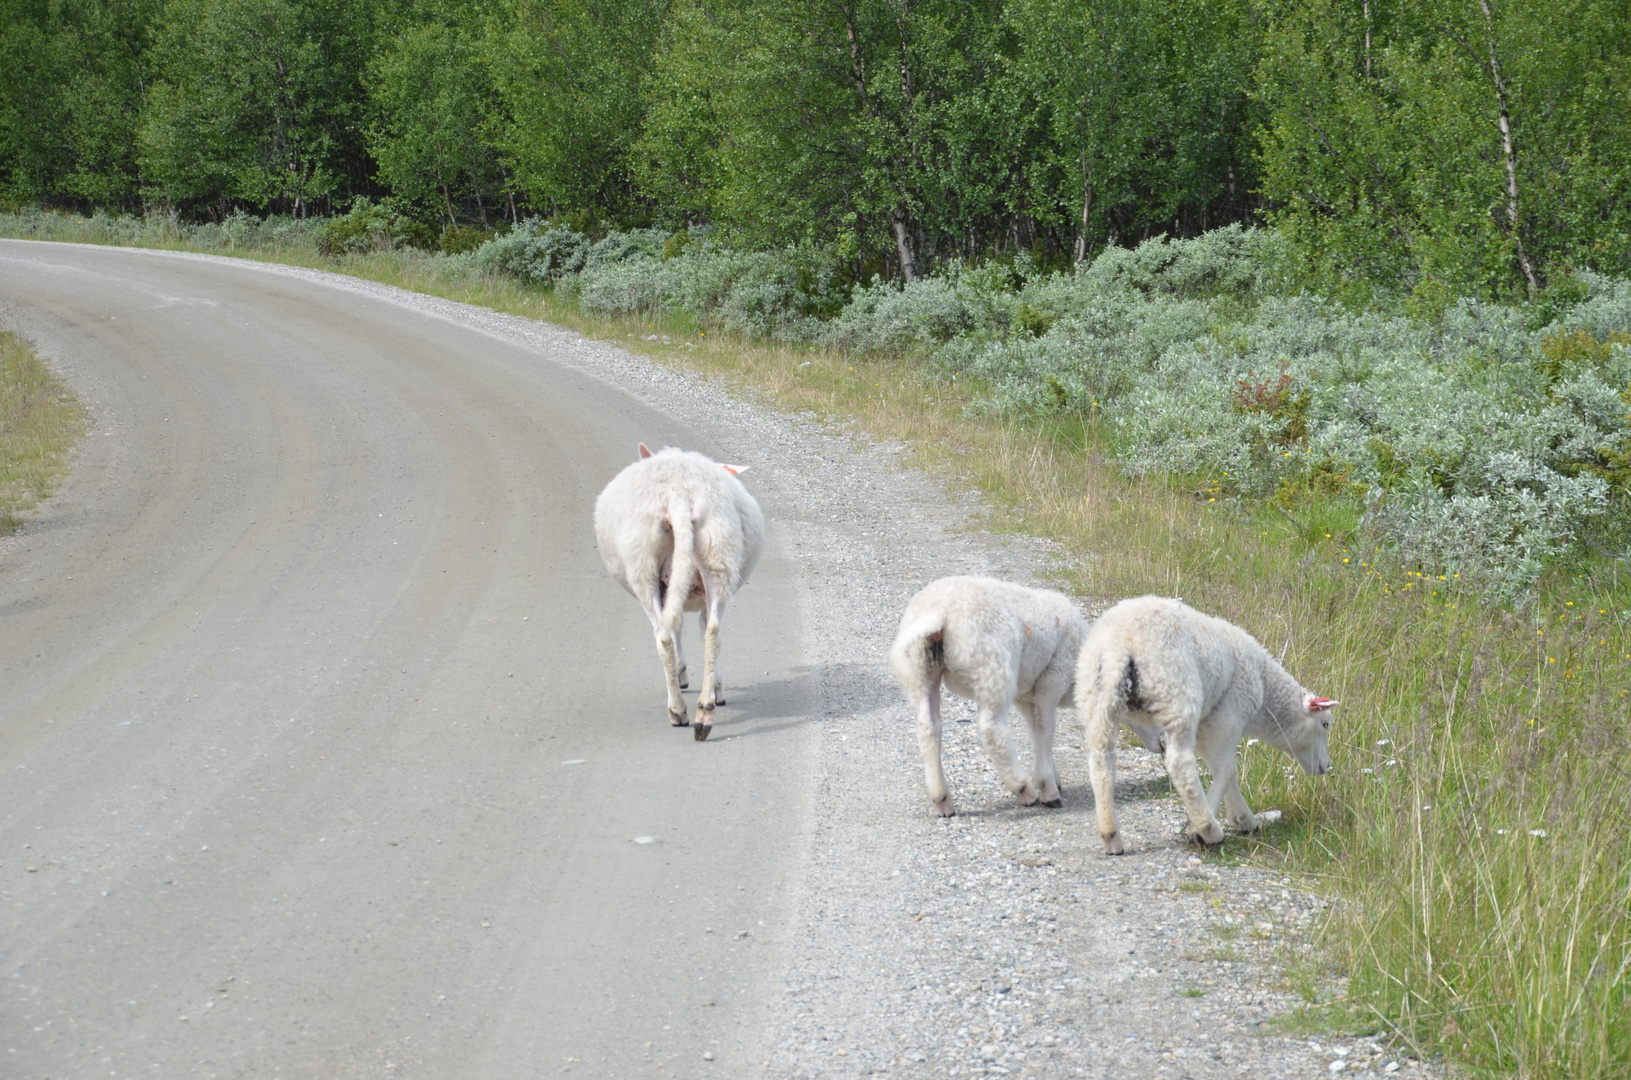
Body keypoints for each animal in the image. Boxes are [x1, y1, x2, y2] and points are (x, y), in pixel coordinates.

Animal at [593, 443, 763, 740]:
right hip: (717, 552)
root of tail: (679, 493)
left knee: (663, 637)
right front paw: (710, 684)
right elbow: (692, 626)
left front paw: (689, 675)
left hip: (644, 566)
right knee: (712, 633)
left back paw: (678, 711)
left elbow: (679, 627)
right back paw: (704, 712)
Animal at [900, 580, 1089, 815]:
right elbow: (1045, 730)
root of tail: (938, 611)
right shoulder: (1052, 681)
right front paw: (1048, 787)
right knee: (990, 729)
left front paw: (1051, 776)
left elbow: (1035, 731)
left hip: (922, 669)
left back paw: (941, 798)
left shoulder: (1025, 695)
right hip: (992, 669)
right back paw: (1023, 789)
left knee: (928, 728)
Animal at [1069, 600, 1337, 854]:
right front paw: (1207, 827)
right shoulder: (1226, 718)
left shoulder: (1207, 727)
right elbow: (1227, 770)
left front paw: (1243, 819)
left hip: (1095, 699)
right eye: (1325, 724)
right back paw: (1209, 828)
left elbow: (1222, 769)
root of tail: (1118, 647)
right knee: (1180, 764)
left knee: (1101, 761)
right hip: (1175, 694)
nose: (1326, 766)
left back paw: (1110, 835)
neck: (1264, 690)